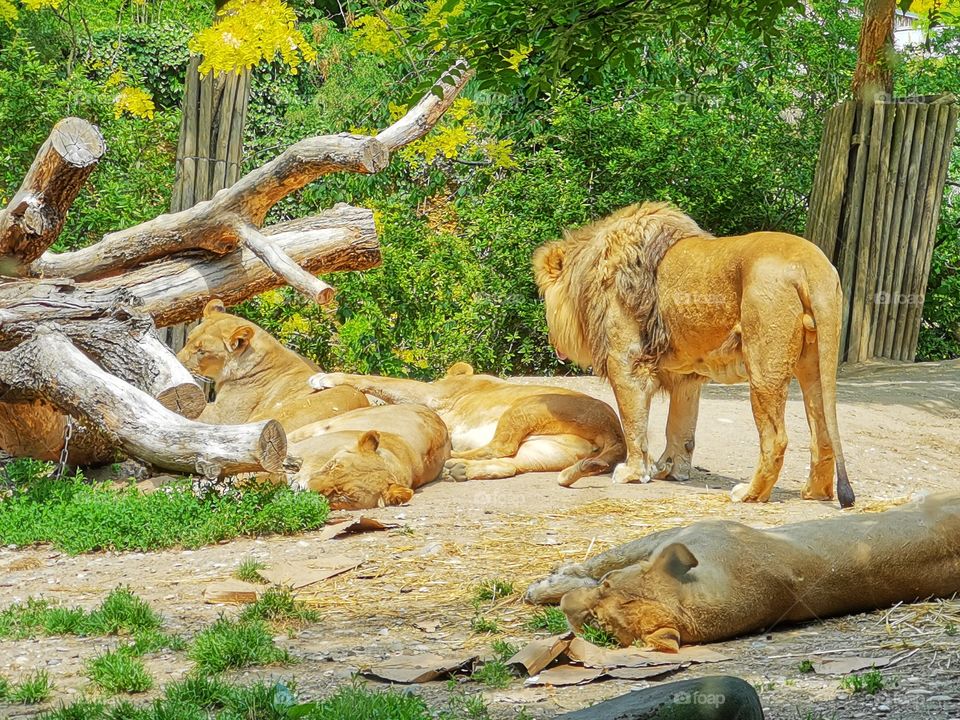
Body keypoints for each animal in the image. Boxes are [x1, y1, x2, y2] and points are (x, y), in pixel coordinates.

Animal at [308, 362, 625, 486]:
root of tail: (616, 430)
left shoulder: (428, 393)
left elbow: (377, 379)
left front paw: (325, 378)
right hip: (547, 450)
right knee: (509, 463)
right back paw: (459, 469)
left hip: (526, 406)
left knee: (500, 447)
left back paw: (452, 461)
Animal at [526, 494, 960, 651]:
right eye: (607, 587)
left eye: (598, 629)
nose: (566, 608)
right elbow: (607, 559)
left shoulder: (696, 528)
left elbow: (600, 559)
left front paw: (545, 587)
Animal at [532, 202, 855, 507]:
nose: (549, 336)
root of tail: (812, 261)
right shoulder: (685, 376)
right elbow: (680, 427)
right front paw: (671, 470)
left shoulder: (626, 363)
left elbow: (634, 423)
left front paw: (633, 473)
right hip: (814, 365)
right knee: (822, 433)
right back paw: (814, 492)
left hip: (764, 369)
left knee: (775, 439)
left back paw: (750, 494)